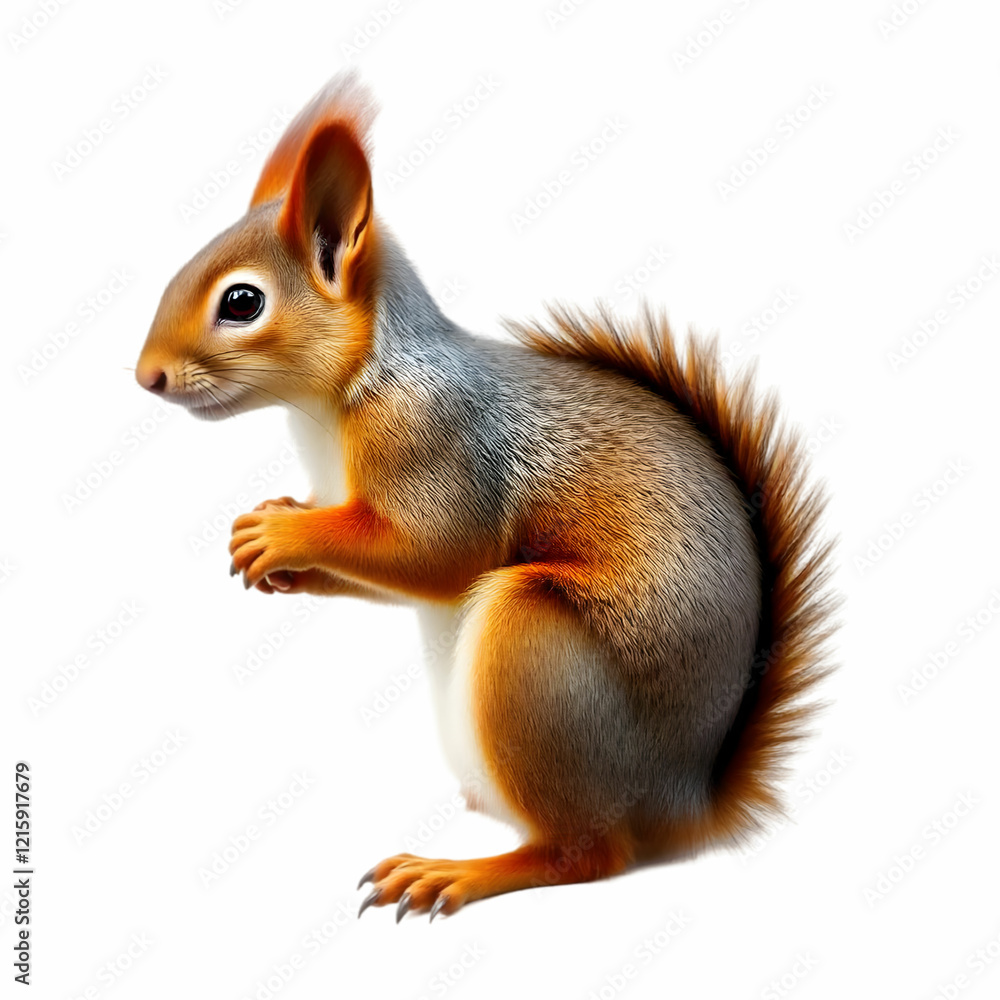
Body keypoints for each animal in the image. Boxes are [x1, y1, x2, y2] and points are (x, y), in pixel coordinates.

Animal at [135, 71, 836, 921]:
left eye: (241, 302)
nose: (145, 376)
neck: (335, 400)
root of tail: (684, 802)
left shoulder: (436, 440)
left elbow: (437, 552)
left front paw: (284, 539)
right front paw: (279, 535)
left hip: (537, 656)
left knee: (584, 854)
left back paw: (459, 871)